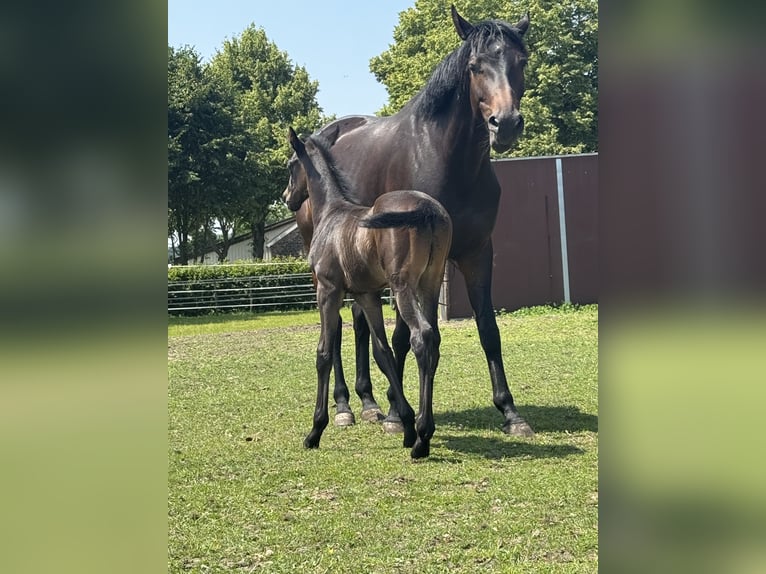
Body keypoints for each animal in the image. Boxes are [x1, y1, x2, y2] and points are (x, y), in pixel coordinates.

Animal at [287, 126, 452, 459]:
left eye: (289, 166)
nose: (287, 198)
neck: (331, 214)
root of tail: (427, 208)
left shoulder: (328, 290)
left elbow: (323, 352)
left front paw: (315, 430)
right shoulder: (367, 296)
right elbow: (382, 352)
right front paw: (403, 423)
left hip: (403, 286)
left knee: (421, 337)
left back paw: (423, 437)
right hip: (430, 284)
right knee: (434, 340)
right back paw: (420, 432)